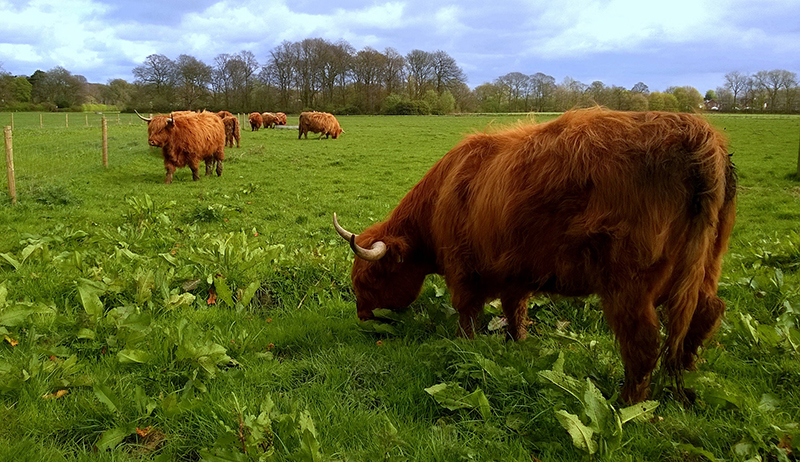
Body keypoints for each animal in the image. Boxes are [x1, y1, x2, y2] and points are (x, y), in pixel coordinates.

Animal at [333, 108, 736, 404]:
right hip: (706, 267)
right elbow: (515, 310)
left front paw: (465, 345)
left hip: (629, 282)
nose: (361, 316)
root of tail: (695, 131)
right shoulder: (515, 270)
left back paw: (627, 404)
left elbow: (466, 311)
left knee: (643, 342)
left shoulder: (462, 268)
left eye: (369, 277)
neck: (442, 197)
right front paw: (518, 343)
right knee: (704, 314)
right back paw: (686, 376)